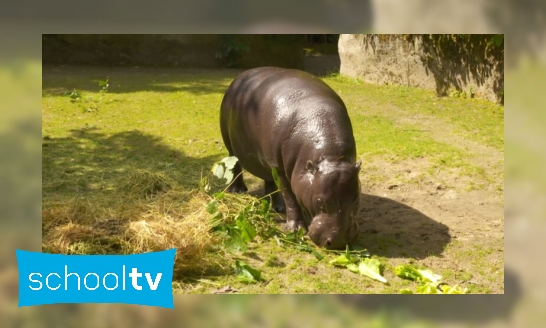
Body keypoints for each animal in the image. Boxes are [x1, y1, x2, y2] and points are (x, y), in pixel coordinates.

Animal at [219, 68, 360, 250]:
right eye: (319, 202)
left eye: (356, 200)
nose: (339, 241)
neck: (331, 156)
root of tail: (241, 76)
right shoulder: (280, 168)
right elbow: (291, 198)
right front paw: (295, 230)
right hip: (232, 143)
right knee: (235, 164)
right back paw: (237, 190)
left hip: (267, 160)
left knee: (269, 180)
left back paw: (278, 207)